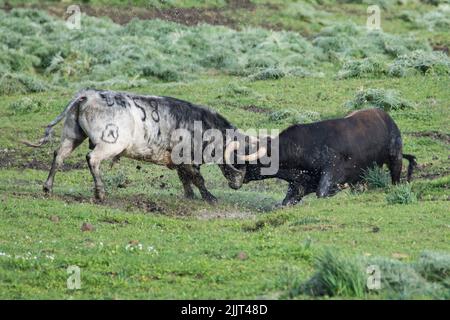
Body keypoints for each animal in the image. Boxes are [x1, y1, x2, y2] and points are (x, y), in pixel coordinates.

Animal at [23, 88, 264, 202]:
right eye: (242, 158)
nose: (239, 184)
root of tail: (88, 95)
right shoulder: (188, 159)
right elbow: (198, 179)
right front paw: (210, 198)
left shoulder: (179, 162)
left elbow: (186, 180)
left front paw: (190, 196)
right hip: (109, 143)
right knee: (92, 159)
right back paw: (100, 192)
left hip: (72, 136)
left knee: (59, 155)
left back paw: (48, 187)